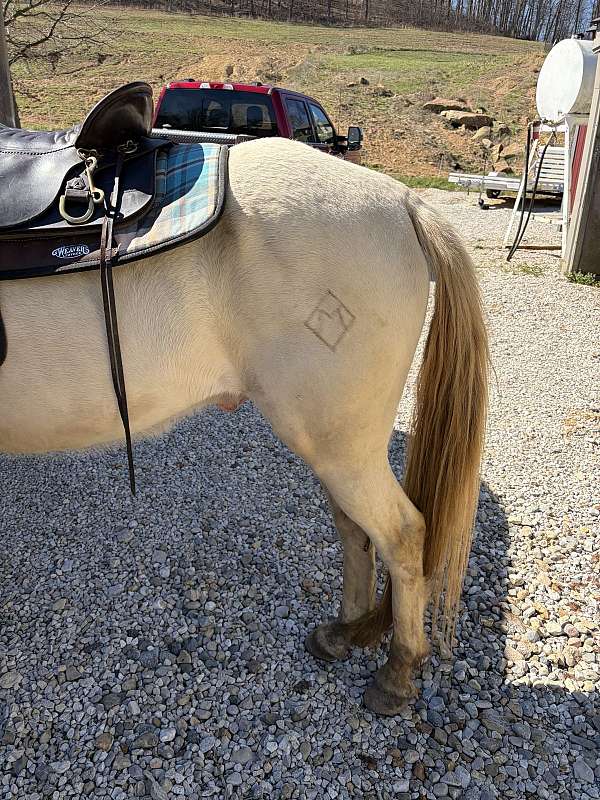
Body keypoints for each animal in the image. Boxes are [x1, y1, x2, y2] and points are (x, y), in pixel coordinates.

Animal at [0, 137, 488, 715]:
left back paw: (397, 673)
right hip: (339, 446)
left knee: (401, 533)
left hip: (342, 446)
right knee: (355, 530)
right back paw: (342, 634)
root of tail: (403, 200)